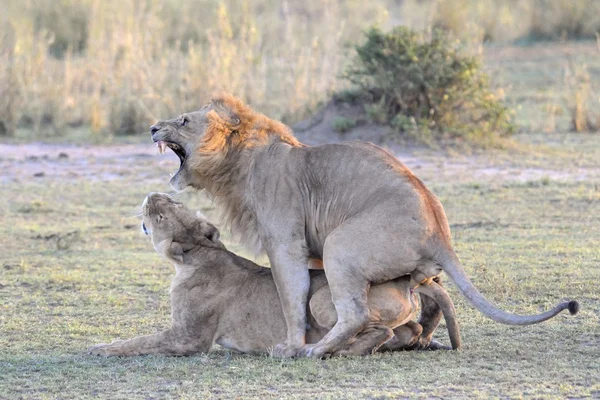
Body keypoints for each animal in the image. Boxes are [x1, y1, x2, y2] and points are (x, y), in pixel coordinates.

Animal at [88, 194, 460, 356]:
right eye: (173, 203)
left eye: (162, 214)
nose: (153, 195)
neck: (200, 254)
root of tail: (404, 279)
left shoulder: (189, 338)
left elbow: (141, 341)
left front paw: (101, 348)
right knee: (409, 330)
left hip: (320, 299)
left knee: (376, 328)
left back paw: (328, 350)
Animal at [150, 95, 580, 358]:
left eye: (184, 120)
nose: (153, 127)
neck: (240, 161)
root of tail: (439, 231)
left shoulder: (285, 241)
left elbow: (291, 295)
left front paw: (290, 346)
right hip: (405, 269)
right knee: (432, 298)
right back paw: (421, 340)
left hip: (341, 245)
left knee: (356, 312)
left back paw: (317, 351)